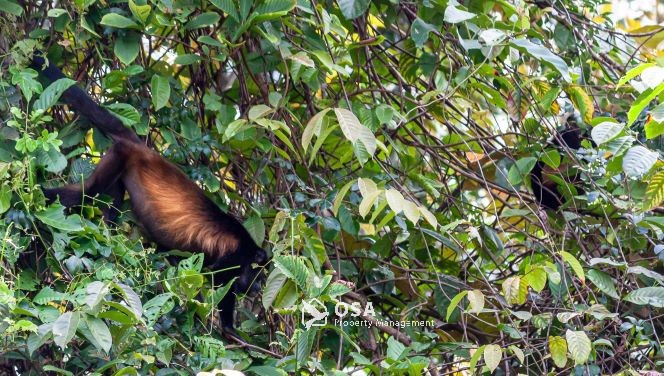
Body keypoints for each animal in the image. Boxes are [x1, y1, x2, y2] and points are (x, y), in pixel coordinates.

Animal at [30, 53, 270, 338]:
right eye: (260, 276)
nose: (259, 289)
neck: (250, 250)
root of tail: (140, 147)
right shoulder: (237, 255)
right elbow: (217, 277)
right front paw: (228, 327)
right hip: (119, 157)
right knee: (88, 193)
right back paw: (37, 196)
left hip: (119, 166)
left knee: (110, 206)